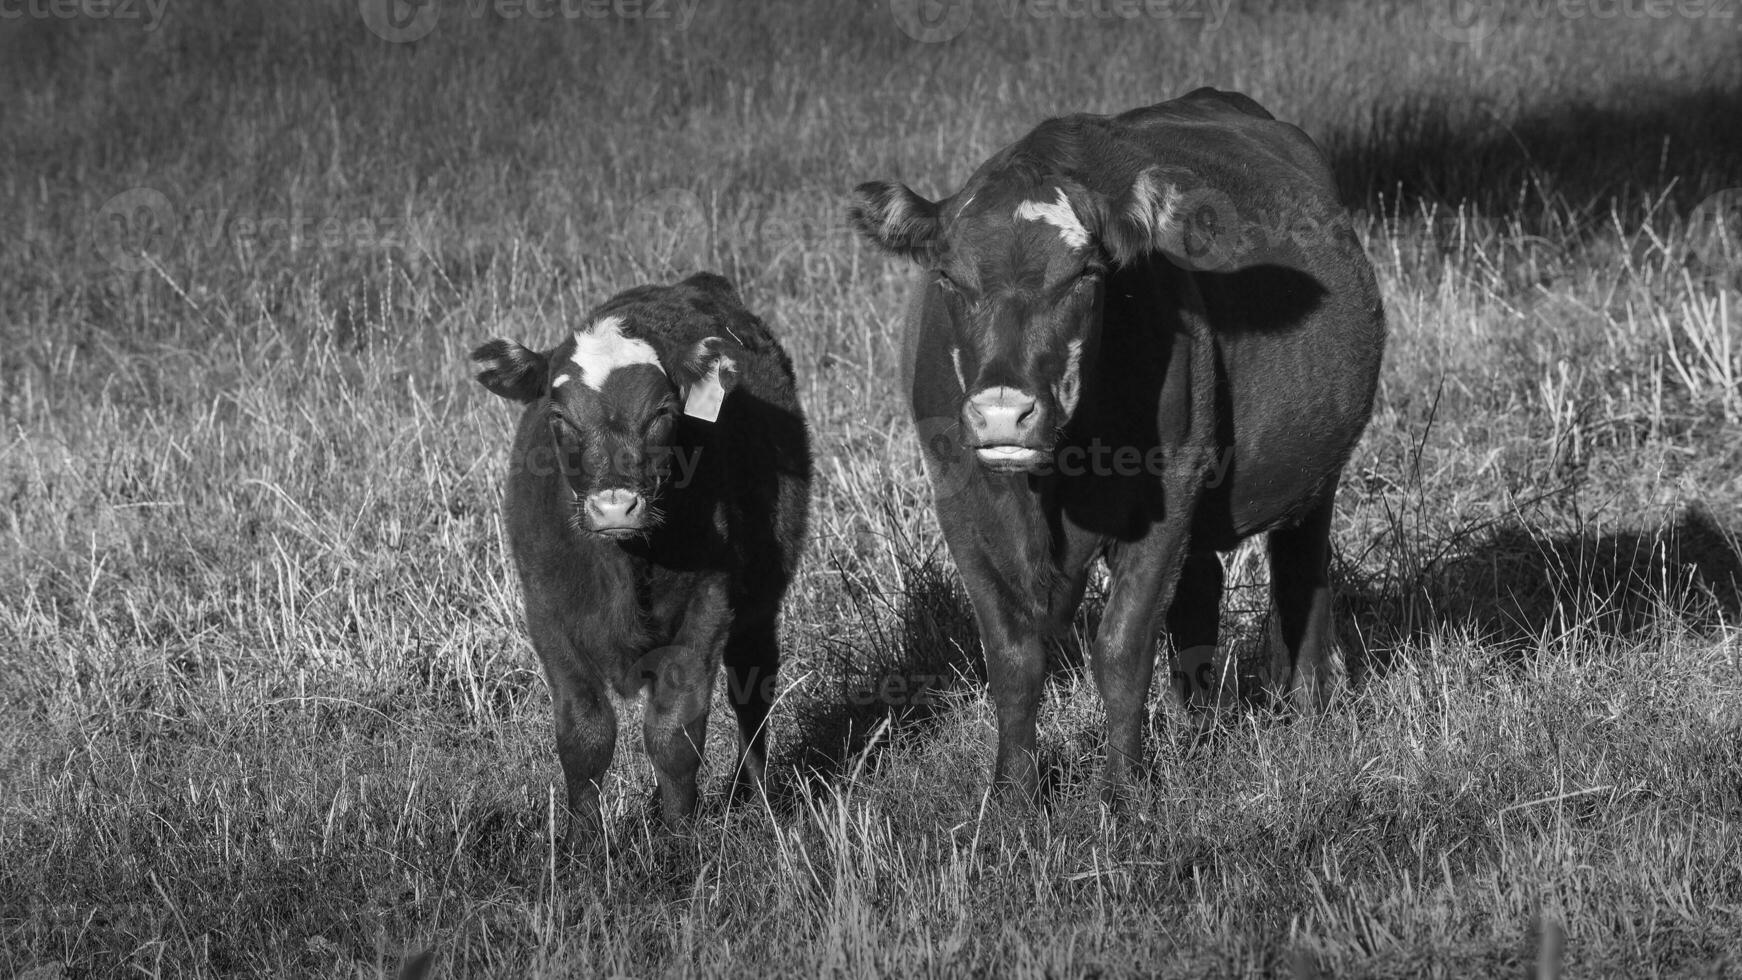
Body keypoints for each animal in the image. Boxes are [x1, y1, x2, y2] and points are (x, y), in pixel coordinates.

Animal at [466, 275, 811, 842]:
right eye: (558, 416)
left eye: (663, 413)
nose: (614, 507)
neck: (626, 568)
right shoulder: (547, 614)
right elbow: (584, 735)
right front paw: (583, 842)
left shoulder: (708, 608)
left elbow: (673, 736)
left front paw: (680, 841)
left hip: (762, 596)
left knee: (752, 686)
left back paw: (755, 793)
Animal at [846, 86, 1386, 804]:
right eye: (949, 278)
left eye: (1083, 276)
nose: (1001, 413)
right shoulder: (960, 504)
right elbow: (1013, 658)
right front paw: (1012, 798)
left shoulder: (1170, 489)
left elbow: (1123, 650)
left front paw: (1124, 794)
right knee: (1201, 592)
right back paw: (1195, 731)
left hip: (1315, 474)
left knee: (1302, 571)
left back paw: (1308, 707)